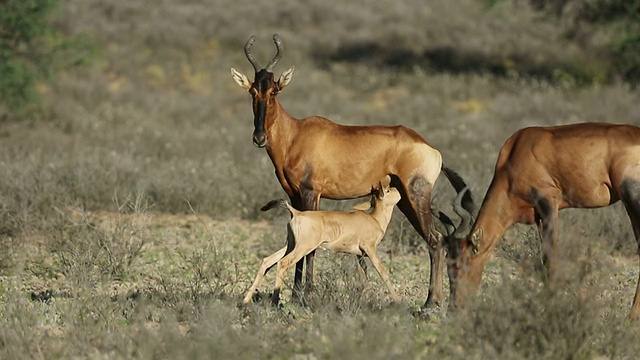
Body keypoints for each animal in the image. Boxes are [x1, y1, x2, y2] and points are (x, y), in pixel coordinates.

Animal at [244, 176, 400, 306]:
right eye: (387, 190)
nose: (397, 188)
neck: (374, 219)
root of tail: (296, 212)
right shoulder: (370, 249)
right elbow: (383, 272)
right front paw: (398, 301)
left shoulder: (359, 255)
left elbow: (364, 275)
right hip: (303, 248)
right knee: (283, 263)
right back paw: (274, 303)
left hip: (290, 245)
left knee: (267, 261)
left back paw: (246, 300)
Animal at [444, 123, 640, 318]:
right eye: (448, 264)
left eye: (461, 265)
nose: (454, 308)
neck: (516, 152)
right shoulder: (538, 215)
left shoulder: (548, 203)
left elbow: (550, 261)